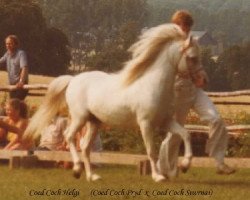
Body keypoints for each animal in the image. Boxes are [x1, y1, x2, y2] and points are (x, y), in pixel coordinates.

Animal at [23, 23, 201, 183]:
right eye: (192, 57)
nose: (201, 80)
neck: (153, 85)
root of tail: (73, 79)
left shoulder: (165, 121)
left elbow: (185, 134)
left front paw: (185, 165)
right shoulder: (146, 124)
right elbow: (151, 151)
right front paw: (158, 177)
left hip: (94, 122)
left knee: (85, 147)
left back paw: (92, 176)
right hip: (80, 118)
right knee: (69, 136)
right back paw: (77, 170)